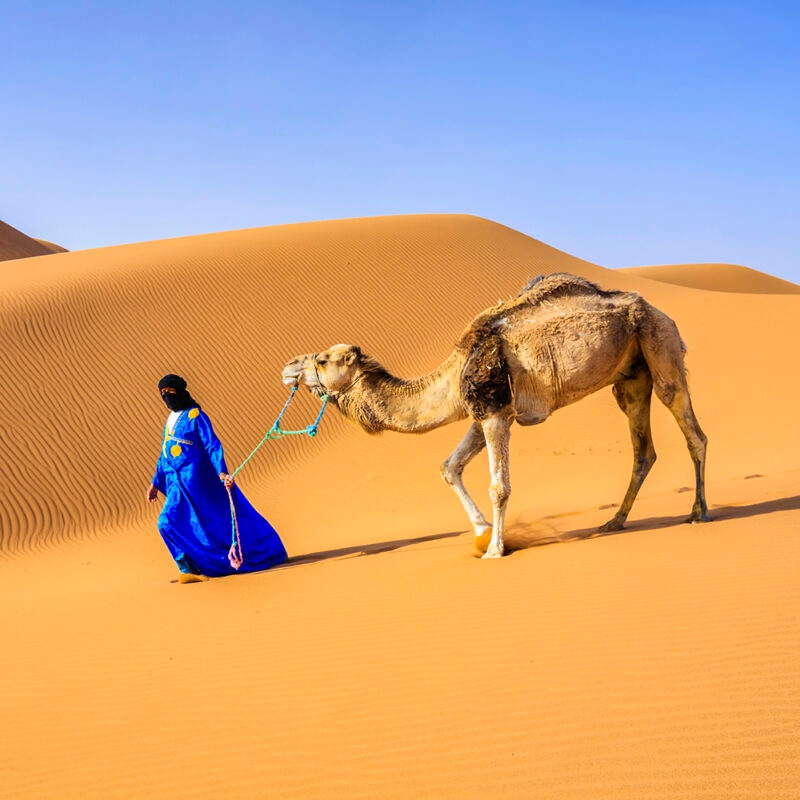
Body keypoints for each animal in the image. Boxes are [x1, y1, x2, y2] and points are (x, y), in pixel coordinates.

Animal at [281, 273, 709, 558]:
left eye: (323, 359)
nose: (287, 367)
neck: (454, 374)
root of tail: (659, 311)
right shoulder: (481, 414)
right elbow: (449, 466)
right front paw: (482, 531)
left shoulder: (495, 413)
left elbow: (499, 487)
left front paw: (494, 549)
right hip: (631, 378)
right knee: (643, 449)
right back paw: (615, 521)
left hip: (660, 342)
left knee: (691, 429)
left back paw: (698, 512)